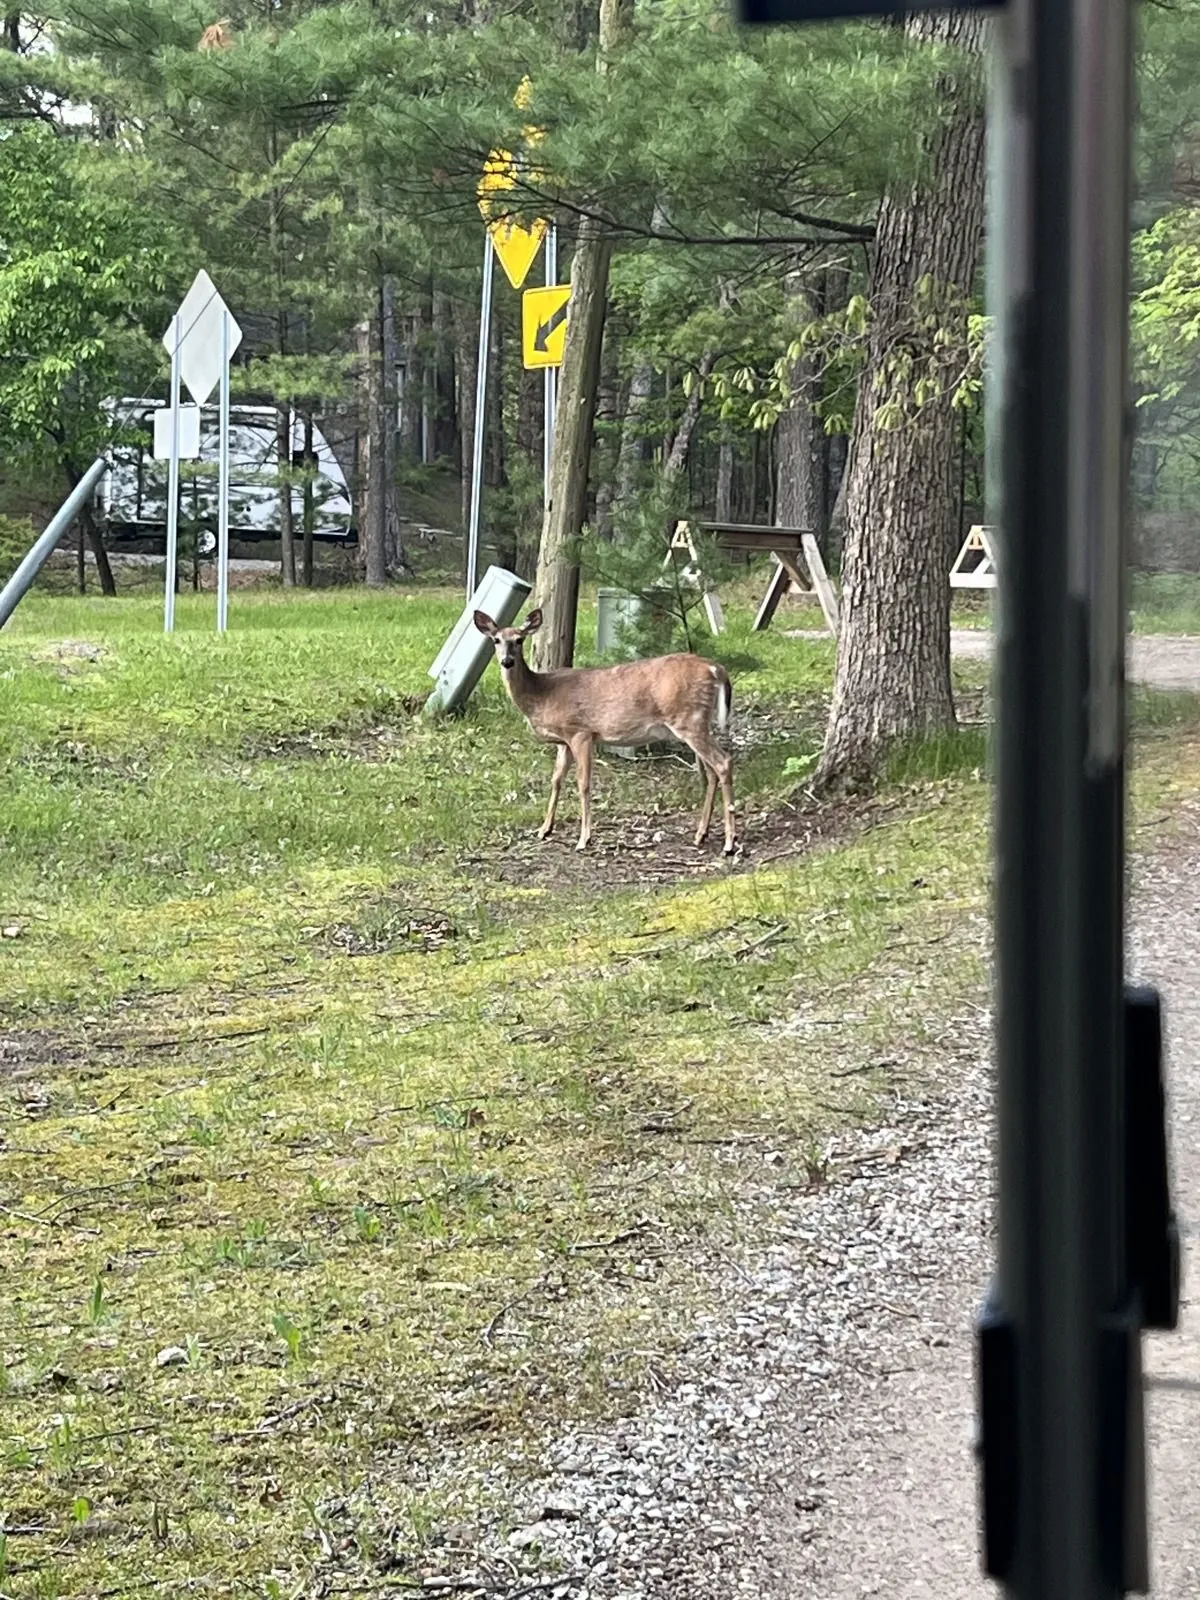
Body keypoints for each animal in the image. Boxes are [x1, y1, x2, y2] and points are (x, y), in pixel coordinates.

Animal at [473, 607, 736, 856]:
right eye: (496, 640)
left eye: (519, 640)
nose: (507, 661)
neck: (542, 694)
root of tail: (715, 668)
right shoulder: (564, 741)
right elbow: (556, 780)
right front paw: (544, 829)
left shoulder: (581, 732)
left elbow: (583, 783)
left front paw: (584, 839)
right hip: (697, 723)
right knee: (711, 771)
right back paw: (701, 835)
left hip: (688, 720)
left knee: (723, 762)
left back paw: (729, 843)